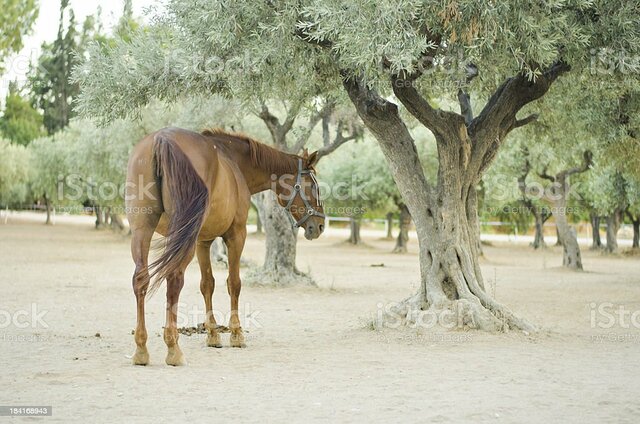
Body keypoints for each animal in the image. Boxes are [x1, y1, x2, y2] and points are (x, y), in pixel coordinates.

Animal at [125, 127, 325, 366]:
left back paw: (141, 349)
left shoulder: (202, 241)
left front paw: (213, 334)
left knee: (141, 279)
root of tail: (163, 139)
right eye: (313, 186)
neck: (233, 161)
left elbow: (207, 284)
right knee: (174, 279)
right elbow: (234, 283)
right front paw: (237, 334)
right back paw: (173, 349)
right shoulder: (236, 235)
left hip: (142, 231)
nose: (320, 225)